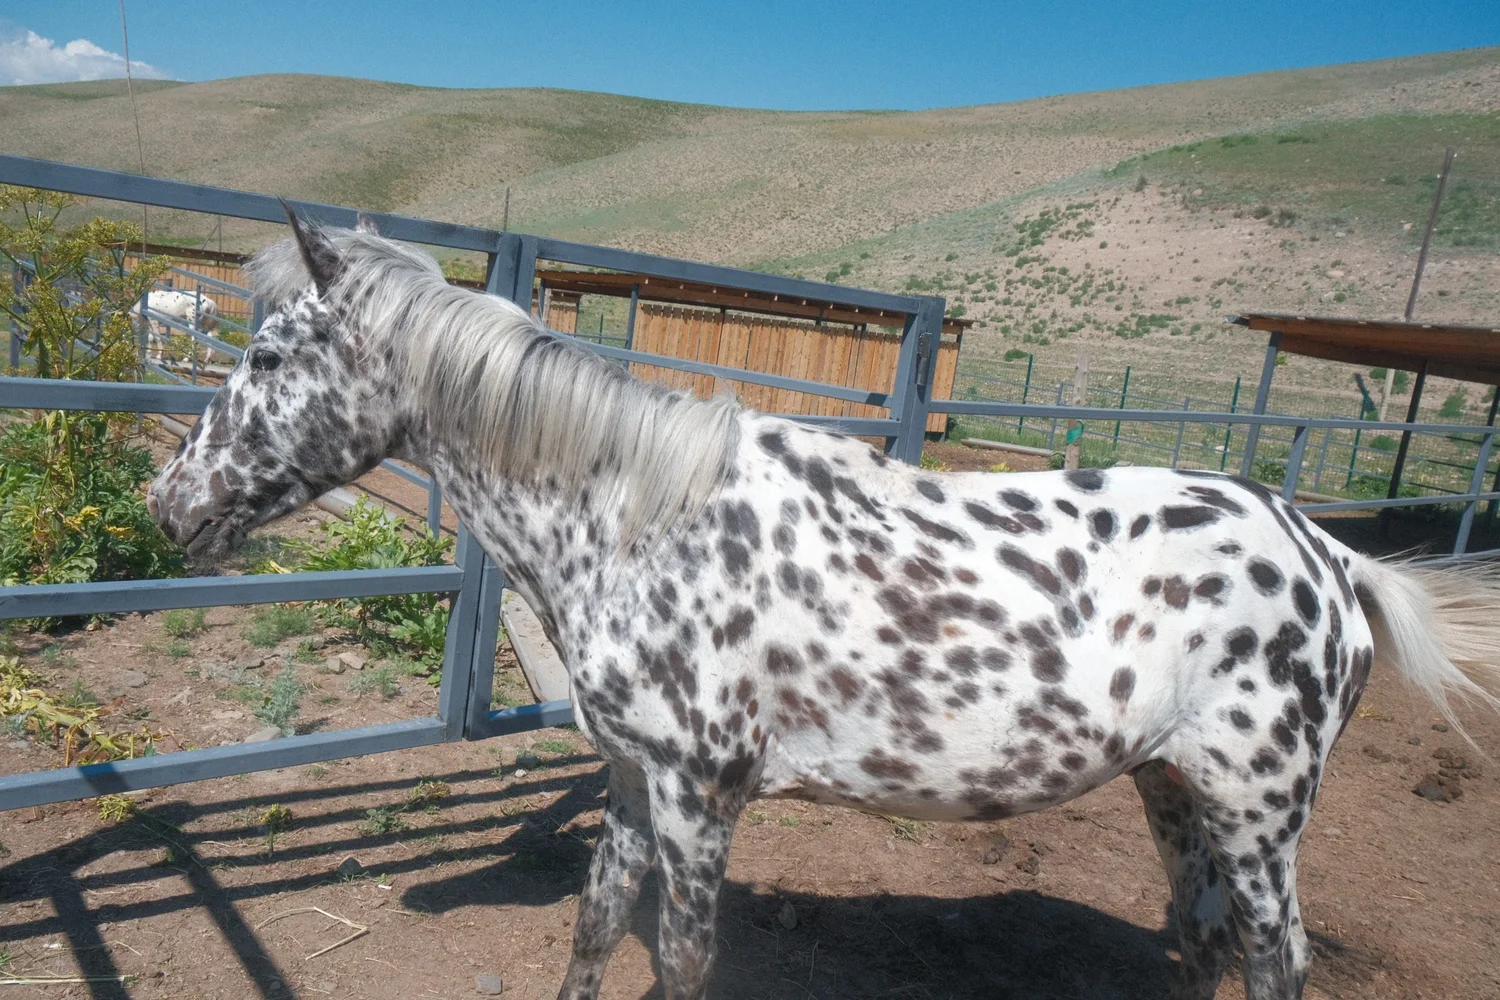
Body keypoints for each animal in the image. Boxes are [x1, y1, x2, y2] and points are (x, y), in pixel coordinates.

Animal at [146, 211, 1500, 1000]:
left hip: (1263, 816)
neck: (640, 519)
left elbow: (682, 960)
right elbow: (593, 927)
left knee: (1276, 960)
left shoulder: (702, 797)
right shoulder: (633, 780)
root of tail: (1332, 558)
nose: (169, 502)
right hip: (1177, 792)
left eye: (266, 355)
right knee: (1205, 938)